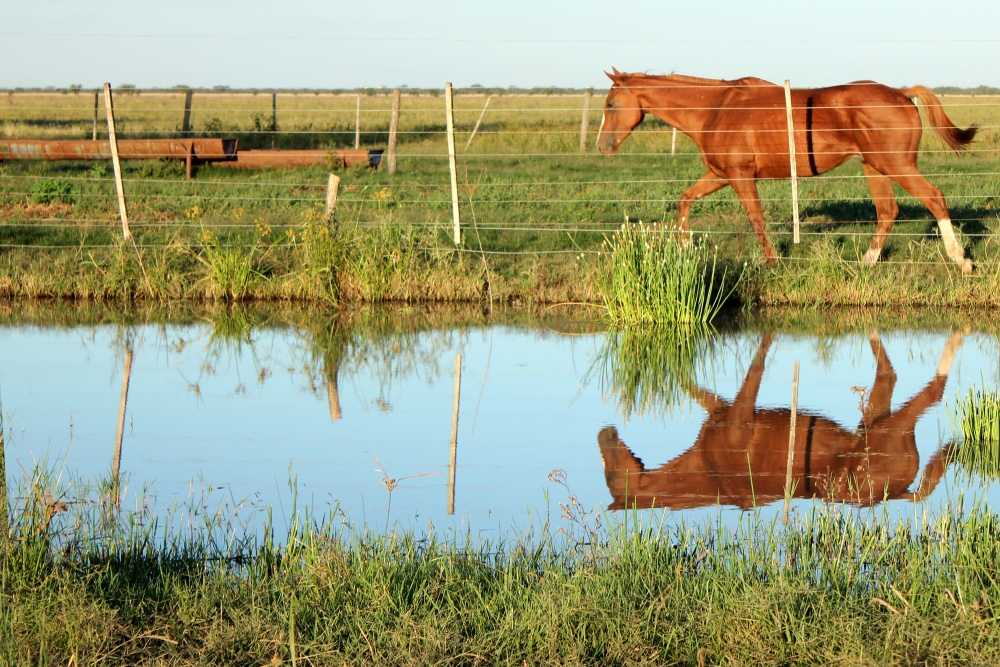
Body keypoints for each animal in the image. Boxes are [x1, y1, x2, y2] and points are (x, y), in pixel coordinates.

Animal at [596, 70, 980, 274]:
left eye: (611, 104)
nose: (602, 147)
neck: (715, 109)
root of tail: (901, 94)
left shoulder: (740, 176)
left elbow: (756, 219)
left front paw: (772, 261)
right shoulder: (721, 175)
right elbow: (684, 200)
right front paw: (686, 250)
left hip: (896, 165)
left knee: (934, 198)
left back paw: (961, 260)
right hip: (874, 167)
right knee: (888, 211)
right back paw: (866, 262)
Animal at [596, 330, 964, 512]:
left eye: (611, 474)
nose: (605, 433)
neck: (710, 469)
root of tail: (895, 495)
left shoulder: (740, 415)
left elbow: (755, 367)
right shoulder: (720, 410)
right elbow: (691, 386)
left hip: (888, 429)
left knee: (931, 392)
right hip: (874, 421)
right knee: (890, 376)